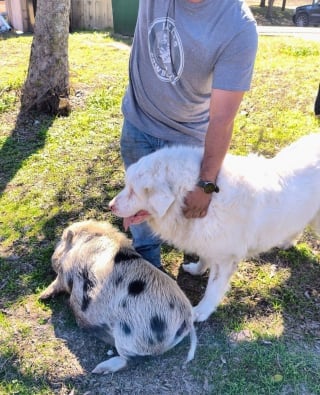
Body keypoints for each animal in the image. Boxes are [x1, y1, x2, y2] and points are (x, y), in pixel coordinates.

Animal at [109, 133, 320, 322]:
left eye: (133, 191)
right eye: (126, 186)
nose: (110, 206)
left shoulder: (225, 258)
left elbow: (214, 288)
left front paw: (201, 312)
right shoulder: (207, 240)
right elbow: (204, 257)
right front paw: (197, 269)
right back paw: (287, 242)